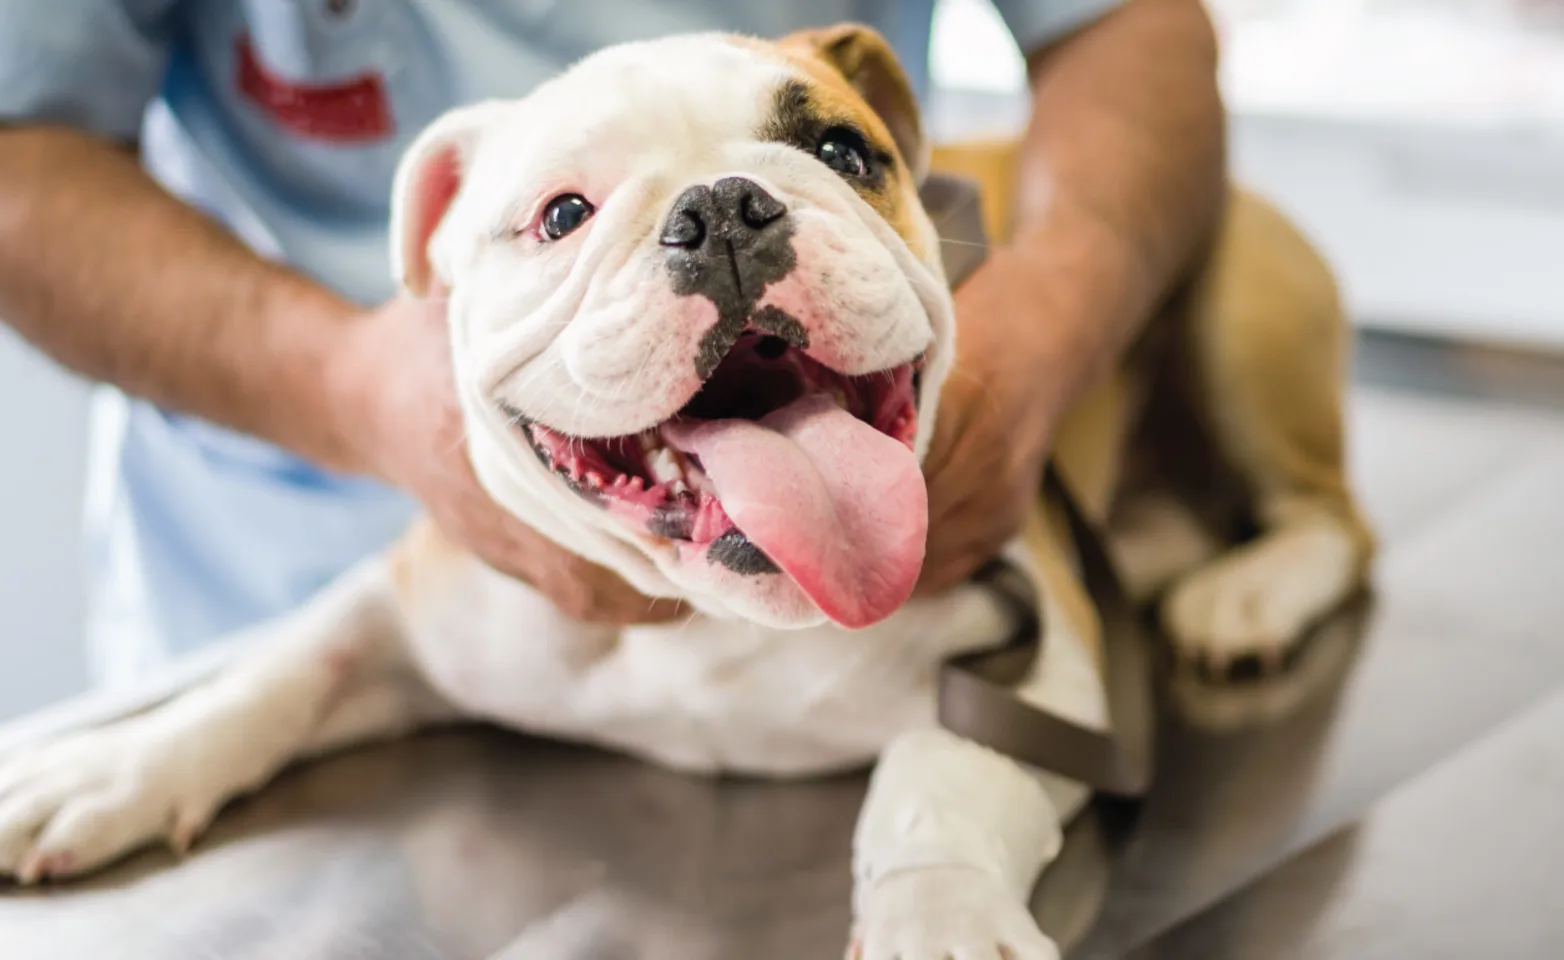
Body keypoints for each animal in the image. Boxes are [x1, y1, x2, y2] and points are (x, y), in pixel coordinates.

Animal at [0, 24, 1370, 960]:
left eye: (840, 151)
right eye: (560, 214)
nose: (722, 207)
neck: (708, 610)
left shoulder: (1041, 661)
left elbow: (933, 780)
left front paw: (934, 920)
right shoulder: (414, 600)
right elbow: (275, 674)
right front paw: (109, 768)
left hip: (1235, 307)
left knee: (1334, 521)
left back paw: (1248, 597)